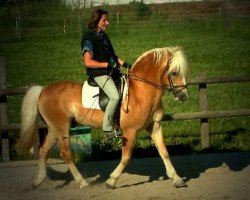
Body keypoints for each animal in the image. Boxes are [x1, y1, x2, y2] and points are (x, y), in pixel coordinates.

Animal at [15, 46, 188, 189]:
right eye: (174, 72)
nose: (184, 96)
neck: (141, 90)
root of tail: (43, 90)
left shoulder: (154, 126)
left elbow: (164, 152)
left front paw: (177, 179)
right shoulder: (130, 131)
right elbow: (126, 157)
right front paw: (111, 181)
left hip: (54, 128)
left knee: (43, 151)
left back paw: (38, 181)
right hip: (62, 127)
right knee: (65, 153)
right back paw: (82, 182)